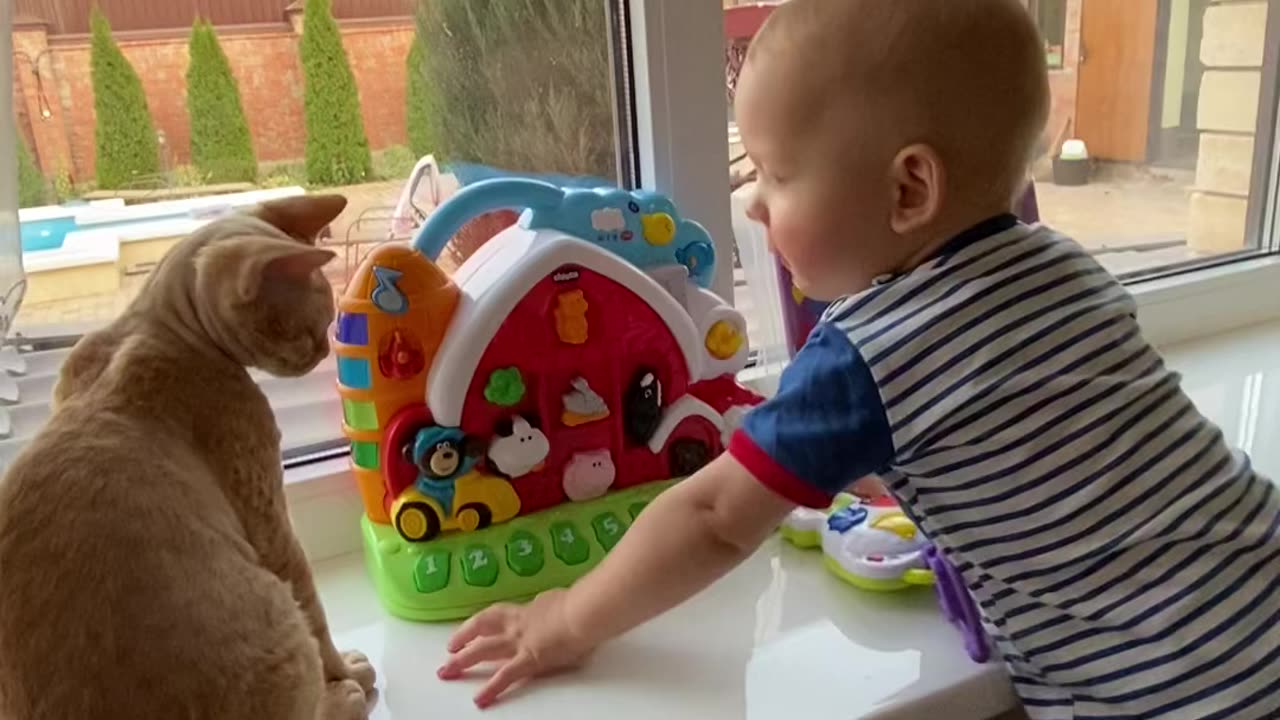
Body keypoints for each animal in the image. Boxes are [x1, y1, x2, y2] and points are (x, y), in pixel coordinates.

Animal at [0, 196, 376, 717]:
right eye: (309, 327)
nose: (322, 351)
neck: (149, 325)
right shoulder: (269, 519)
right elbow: (315, 613)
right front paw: (345, 671)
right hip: (276, 612)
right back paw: (341, 699)